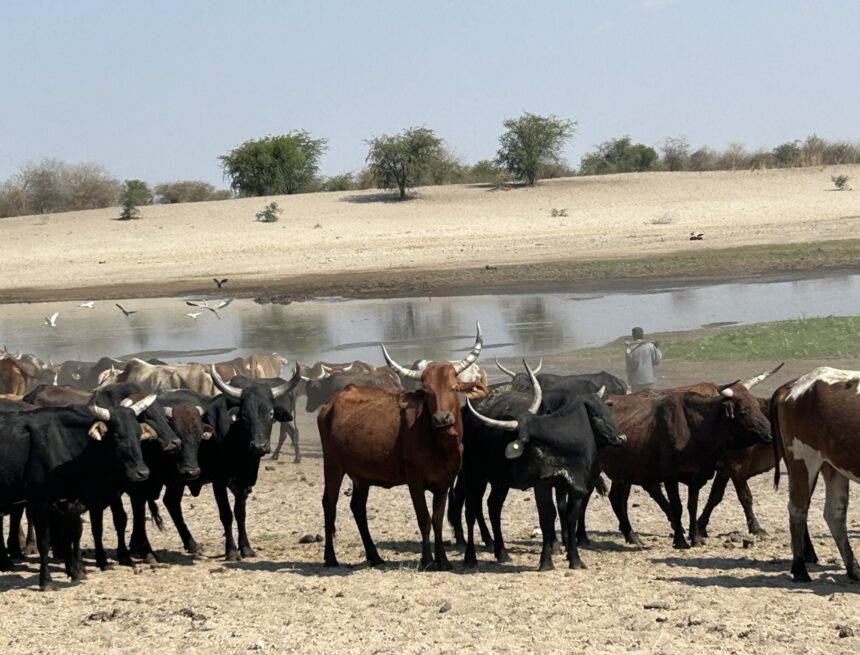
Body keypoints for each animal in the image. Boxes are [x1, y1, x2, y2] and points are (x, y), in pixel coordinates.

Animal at [0, 396, 155, 589]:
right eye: (117, 435)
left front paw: (75, 572)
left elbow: (70, 536)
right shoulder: (39, 502)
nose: (142, 473)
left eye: (139, 433)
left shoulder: (69, 502)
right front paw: (46, 580)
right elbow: (45, 541)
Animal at [157, 366, 299, 560]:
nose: (259, 446)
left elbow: (241, 514)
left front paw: (246, 548)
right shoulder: (219, 481)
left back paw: (192, 544)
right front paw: (231, 551)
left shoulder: (243, 483)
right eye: (244, 414)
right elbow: (226, 514)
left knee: (171, 502)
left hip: (179, 478)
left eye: (270, 413)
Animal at [317, 324, 486, 570]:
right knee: (329, 503)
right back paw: (330, 557)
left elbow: (437, 520)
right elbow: (424, 518)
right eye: (427, 392)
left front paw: (443, 560)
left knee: (358, 508)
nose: (442, 419)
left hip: (361, 475)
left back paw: (375, 556)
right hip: (332, 465)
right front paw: (427, 560)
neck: (439, 445)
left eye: (454, 387)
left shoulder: (444, 483)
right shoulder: (414, 480)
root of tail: (330, 403)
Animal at [462, 363, 626, 571]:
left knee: (493, 507)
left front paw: (574, 558)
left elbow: (568, 514)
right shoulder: (542, 484)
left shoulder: (575, 486)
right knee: (471, 510)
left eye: (606, 412)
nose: (621, 438)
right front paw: (547, 561)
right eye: (595, 416)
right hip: (474, 473)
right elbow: (547, 516)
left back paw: (502, 553)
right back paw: (470, 557)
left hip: (500, 480)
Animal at [771, 367, 860, 582]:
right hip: (803, 460)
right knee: (798, 509)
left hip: (833, 466)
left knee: (834, 514)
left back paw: (853, 569)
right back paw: (799, 568)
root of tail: (792, 386)